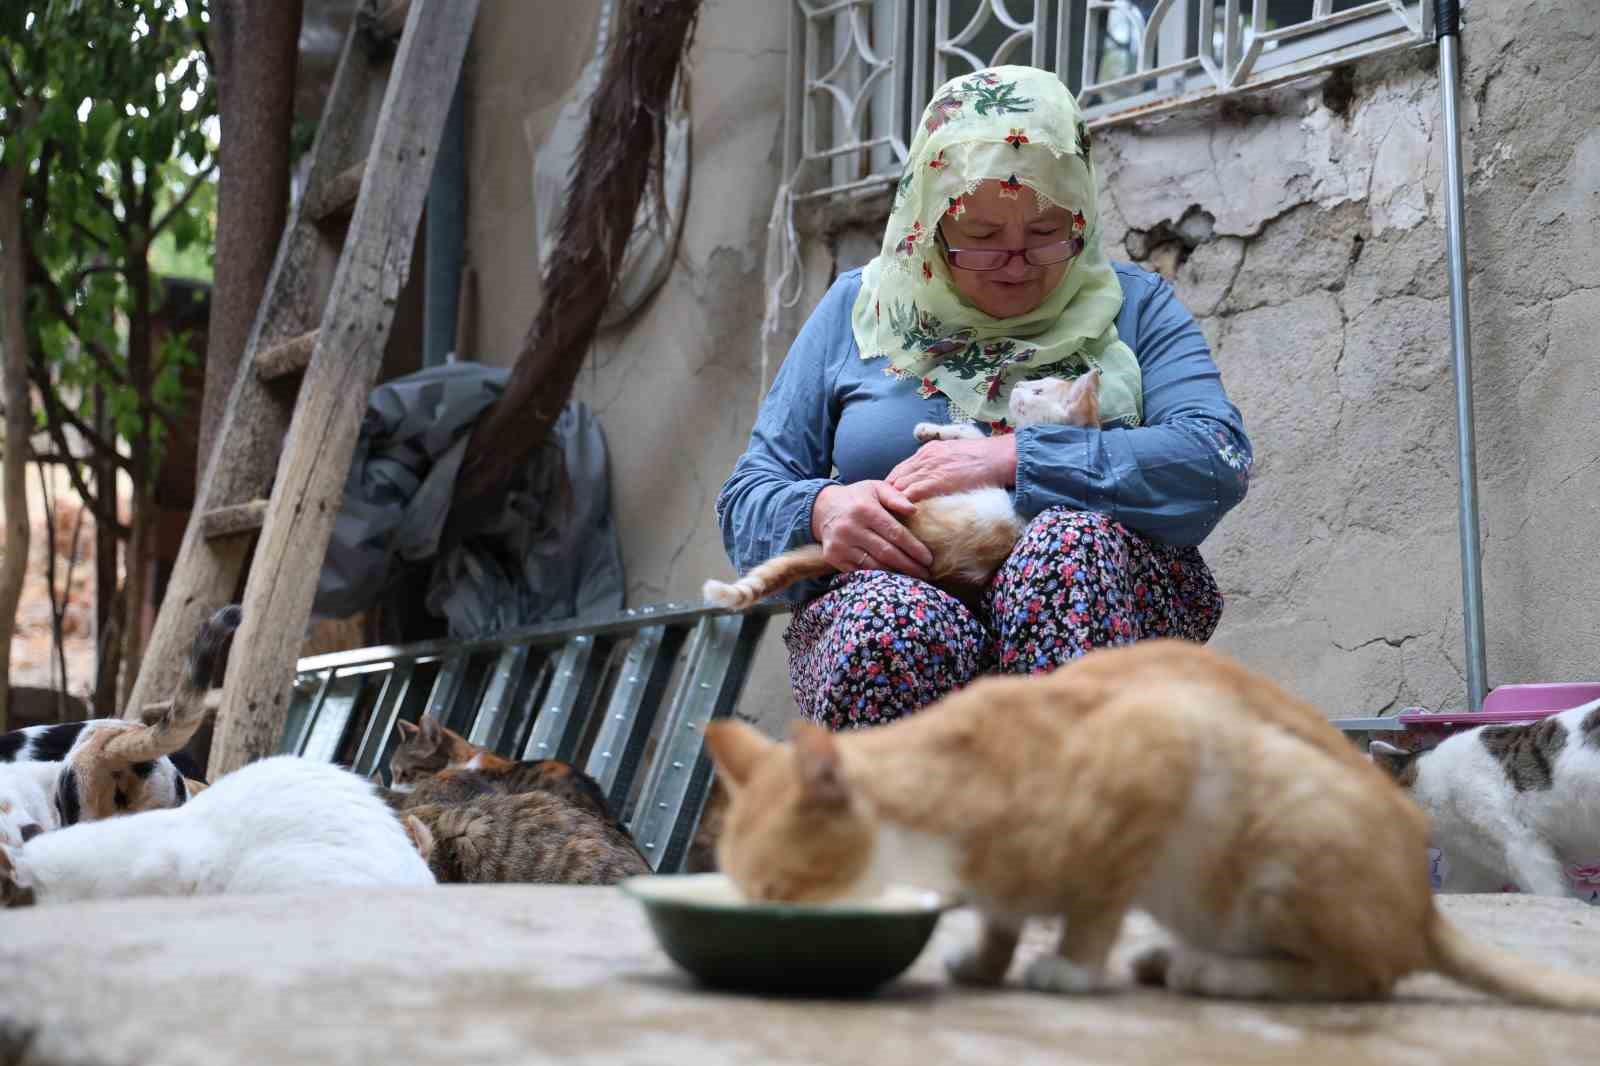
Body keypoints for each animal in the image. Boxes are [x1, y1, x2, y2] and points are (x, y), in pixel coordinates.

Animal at [700, 369, 1100, 611]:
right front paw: (932, 431)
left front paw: (936, 432)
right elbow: (974, 433)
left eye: (1038, 390)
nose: (1017, 385)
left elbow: (974, 436)